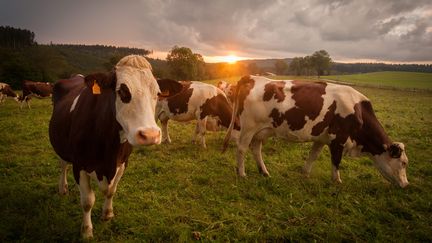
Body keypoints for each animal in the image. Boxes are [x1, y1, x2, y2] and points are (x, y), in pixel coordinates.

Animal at [47, 55, 162, 239]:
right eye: (122, 91)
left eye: (157, 93)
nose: (150, 135)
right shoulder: (79, 164)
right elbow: (87, 201)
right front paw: (86, 230)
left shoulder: (123, 162)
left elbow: (111, 191)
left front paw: (107, 214)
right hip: (61, 146)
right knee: (63, 164)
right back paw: (62, 188)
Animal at [224, 75, 410, 188]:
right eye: (403, 163)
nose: (406, 184)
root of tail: (252, 77)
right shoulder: (338, 139)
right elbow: (336, 161)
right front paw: (337, 181)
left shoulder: (322, 139)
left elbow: (313, 156)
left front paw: (305, 174)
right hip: (249, 128)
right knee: (241, 149)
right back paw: (242, 174)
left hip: (262, 130)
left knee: (256, 149)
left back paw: (264, 172)